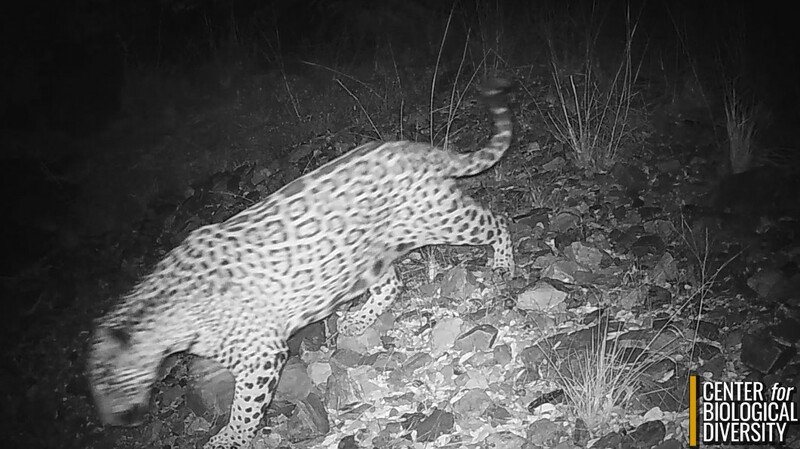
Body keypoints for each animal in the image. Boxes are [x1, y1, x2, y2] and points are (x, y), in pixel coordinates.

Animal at [88, 79, 515, 449]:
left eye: (108, 384)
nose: (109, 423)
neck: (165, 323)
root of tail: (417, 148)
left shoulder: (261, 355)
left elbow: (244, 407)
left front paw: (229, 439)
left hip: (440, 217)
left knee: (496, 221)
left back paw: (503, 266)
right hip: (367, 255)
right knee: (391, 284)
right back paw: (356, 321)